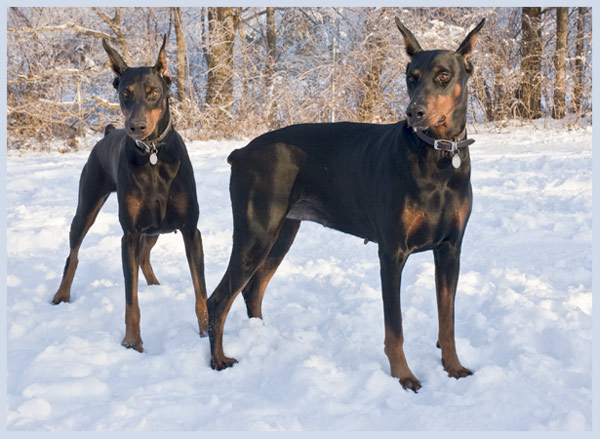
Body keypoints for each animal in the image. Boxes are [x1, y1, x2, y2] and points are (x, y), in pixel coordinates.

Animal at [54, 35, 209, 354]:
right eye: (125, 93)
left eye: (153, 92)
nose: (136, 126)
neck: (152, 155)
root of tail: (106, 134)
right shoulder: (129, 233)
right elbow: (131, 301)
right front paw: (132, 343)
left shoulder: (190, 230)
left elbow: (200, 293)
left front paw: (206, 335)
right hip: (87, 207)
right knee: (73, 255)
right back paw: (61, 295)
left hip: (155, 228)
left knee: (143, 258)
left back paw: (154, 284)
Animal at [209, 17, 486, 392]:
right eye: (411, 77)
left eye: (444, 75)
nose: (414, 112)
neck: (438, 156)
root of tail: (240, 152)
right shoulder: (392, 253)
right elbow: (395, 328)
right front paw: (404, 376)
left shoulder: (450, 249)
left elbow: (448, 321)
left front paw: (453, 367)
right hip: (256, 233)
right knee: (218, 300)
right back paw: (218, 361)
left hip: (282, 233)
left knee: (252, 289)